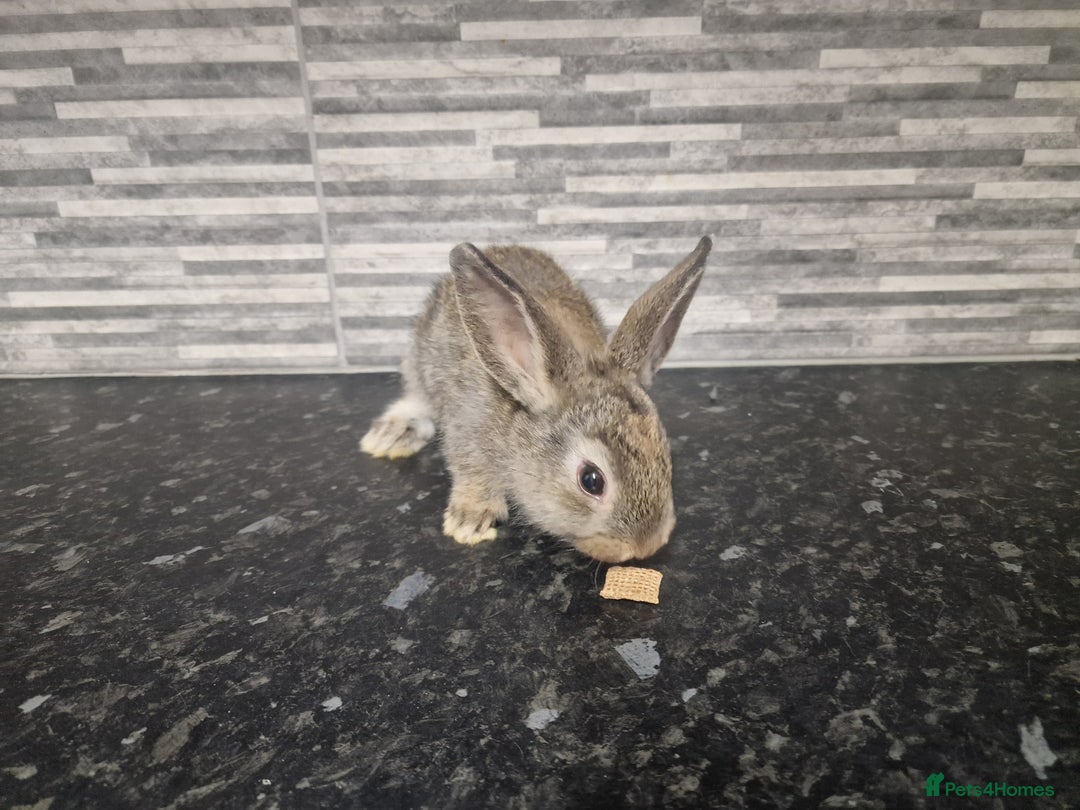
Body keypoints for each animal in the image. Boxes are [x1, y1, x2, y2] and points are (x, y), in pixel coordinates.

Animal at [360, 236, 712, 563]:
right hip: (419, 358)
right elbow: (470, 468)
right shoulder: (467, 429)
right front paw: (470, 520)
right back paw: (390, 435)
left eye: (666, 457)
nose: (645, 546)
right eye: (591, 481)